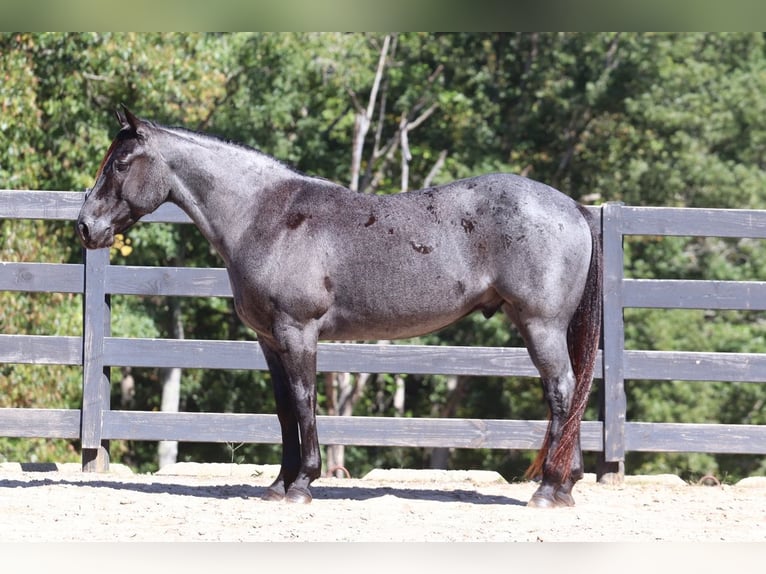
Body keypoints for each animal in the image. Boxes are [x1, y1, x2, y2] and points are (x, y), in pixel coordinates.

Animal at [79, 107, 608, 508]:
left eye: (121, 163)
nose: (86, 226)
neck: (265, 216)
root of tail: (575, 208)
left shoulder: (297, 331)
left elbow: (304, 400)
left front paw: (302, 484)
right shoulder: (269, 340)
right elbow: (283, 409)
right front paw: (279, 484)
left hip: (541, 326)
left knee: (562, 391)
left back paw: (548, 489)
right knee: (570, 393)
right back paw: (565, 485)